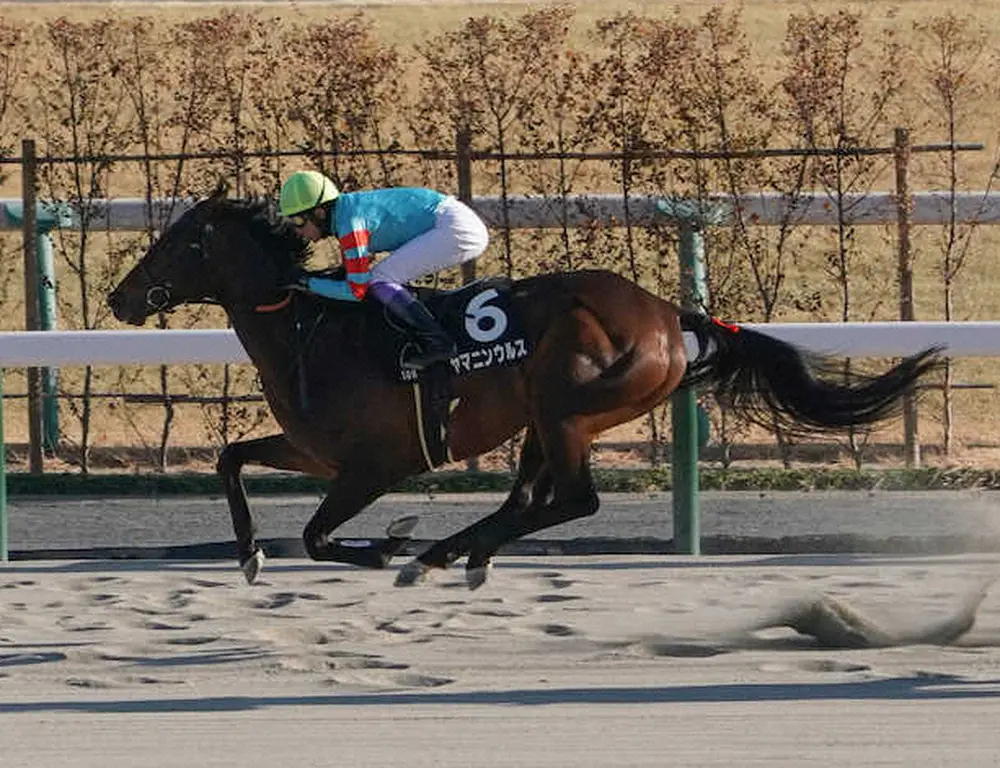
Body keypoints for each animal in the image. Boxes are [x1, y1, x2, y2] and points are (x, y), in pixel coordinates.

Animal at [107, 189, 942, 588]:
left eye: (178, 242)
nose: (119, 299)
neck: (312, 328)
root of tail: (668, 314)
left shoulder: (379, 463)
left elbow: (316, 537)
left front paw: (384, 542)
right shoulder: (316, 452)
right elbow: (230, 458)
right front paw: (251, 553)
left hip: (569, 404)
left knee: (573, 500)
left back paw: (429, 552)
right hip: (546, 416)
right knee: (529, 500)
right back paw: (451, 553)